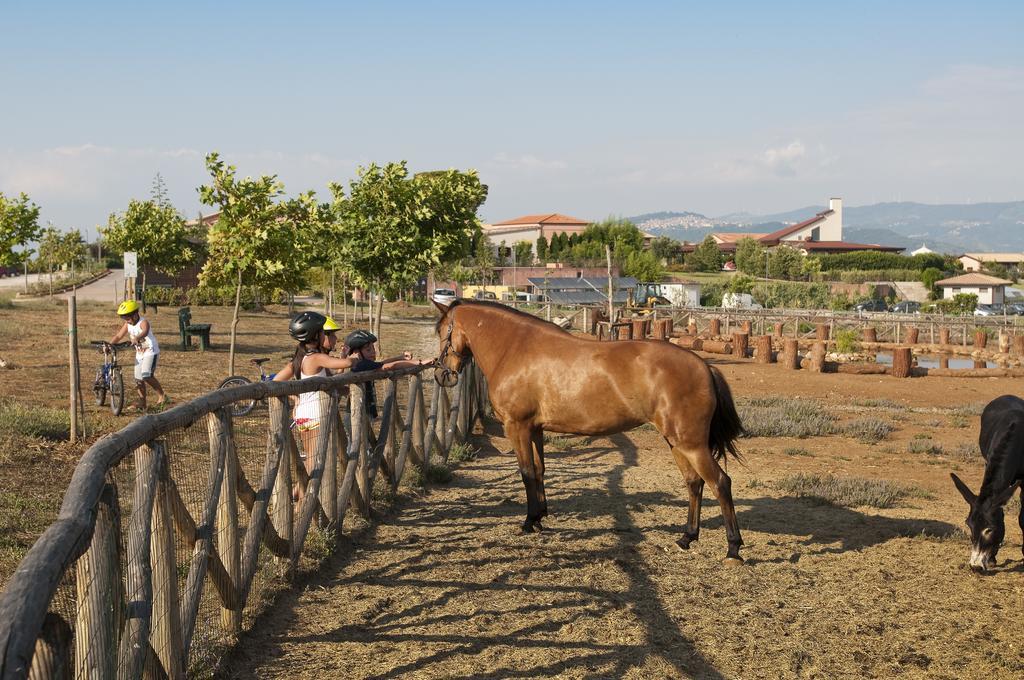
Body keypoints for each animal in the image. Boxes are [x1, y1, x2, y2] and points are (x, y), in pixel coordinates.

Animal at [432, 299, 745, 561]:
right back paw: (687, 537)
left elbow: (526, 473)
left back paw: (733, 548)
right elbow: (540, 470)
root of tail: (704, 365)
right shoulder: (534, 429)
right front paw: (541, 517)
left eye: (442, 333)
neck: (514, 349)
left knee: (720, 483)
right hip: (676, 442)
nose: (441, 373)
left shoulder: (517, 427)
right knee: (694, 483)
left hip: (691, 444)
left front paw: (529, 521)